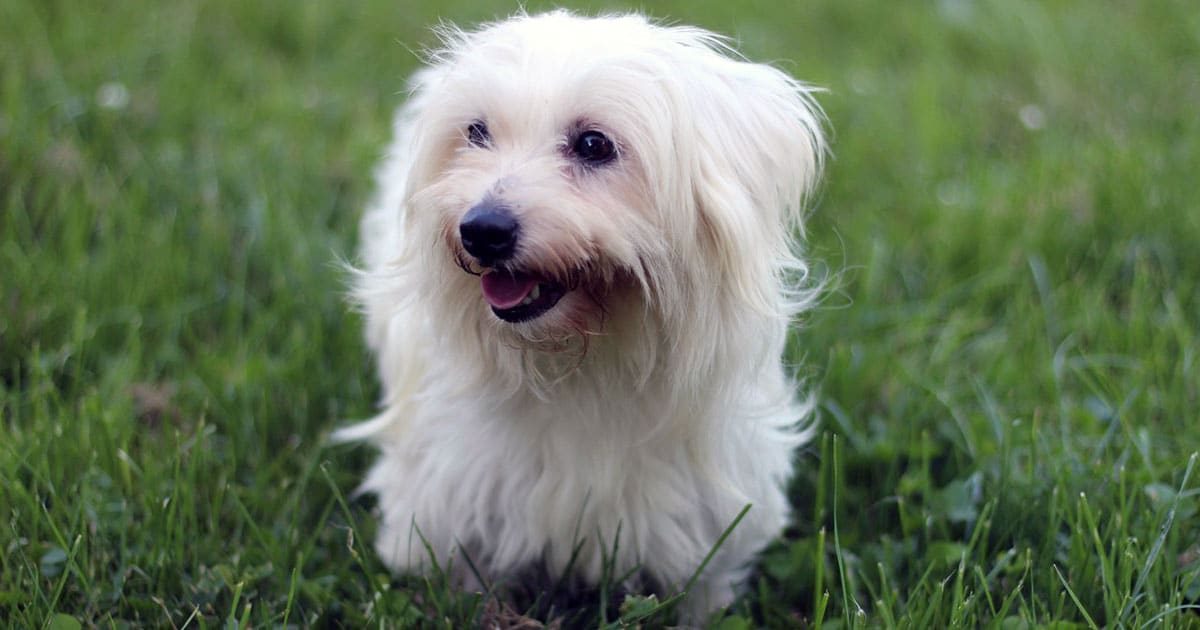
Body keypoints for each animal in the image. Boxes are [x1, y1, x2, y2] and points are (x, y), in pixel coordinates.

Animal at [338, 11, 825, 624]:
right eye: (476, 132)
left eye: (594, 144)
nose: (482, 229)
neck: (583, 364)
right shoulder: (452, 495)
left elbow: (702, 592)